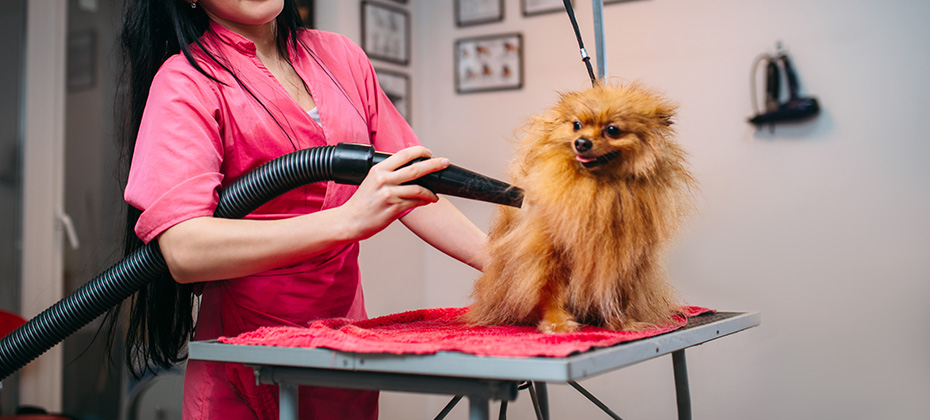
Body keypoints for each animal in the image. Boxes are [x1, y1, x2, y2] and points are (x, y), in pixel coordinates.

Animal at [468, 81, 692, 332]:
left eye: (612, 130)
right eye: (576, 125)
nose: (581, 142)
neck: (598, 186)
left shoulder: (624, 258)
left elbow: (617, 295)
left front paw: (621, 323)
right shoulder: (549, 252)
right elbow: (549, 291)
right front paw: (557, 322)